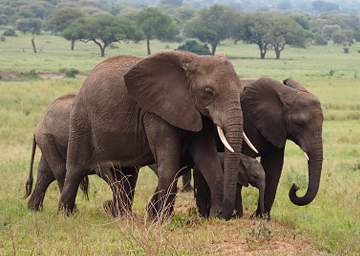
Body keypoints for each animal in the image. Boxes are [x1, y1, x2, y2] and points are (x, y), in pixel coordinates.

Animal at [58, 52, 256, 220]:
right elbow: (168, 163)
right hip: (81, 121)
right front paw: (159, 220)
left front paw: (214, 217)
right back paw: (66, 215)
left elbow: (207, 159)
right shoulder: (155, 111)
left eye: (241, 91)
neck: (192, 60)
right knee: (75, 171)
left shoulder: (198, 113)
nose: (226, 215)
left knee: (128, 175)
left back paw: (124, 217)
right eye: (209, 92)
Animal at [194, 77, 324, 218]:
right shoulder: (248, 119)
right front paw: (238, 216)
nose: (295, 187)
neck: (286, 93)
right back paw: (204, 214)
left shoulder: (277, 128)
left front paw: (263, 218)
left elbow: (274, 166)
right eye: (299, 124)